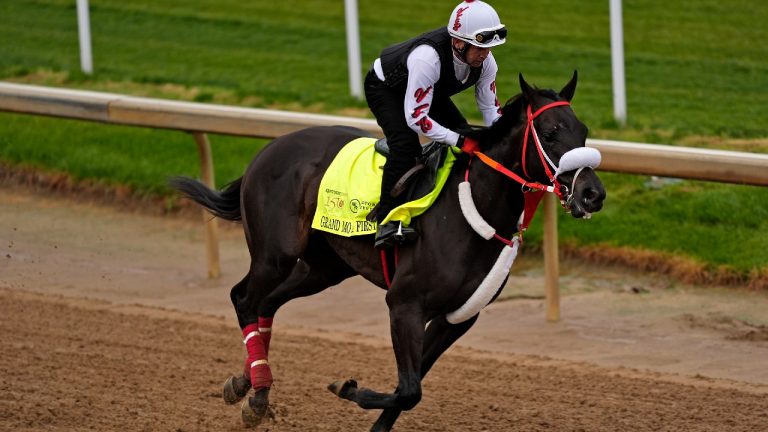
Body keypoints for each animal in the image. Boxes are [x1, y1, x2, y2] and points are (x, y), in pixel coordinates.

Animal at [170, 72, 608, 430]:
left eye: (584, 131)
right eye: (550, 133)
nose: (593, 193)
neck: (473, 210)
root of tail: (268, 149)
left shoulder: (457, 318)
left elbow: (408, 391)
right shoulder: (404, 304)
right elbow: (409, 389)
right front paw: (346, 387)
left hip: (324, 268)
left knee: (266, 304)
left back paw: (251, 388)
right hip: (275, 254)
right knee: (243, 297)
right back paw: (256, 390)